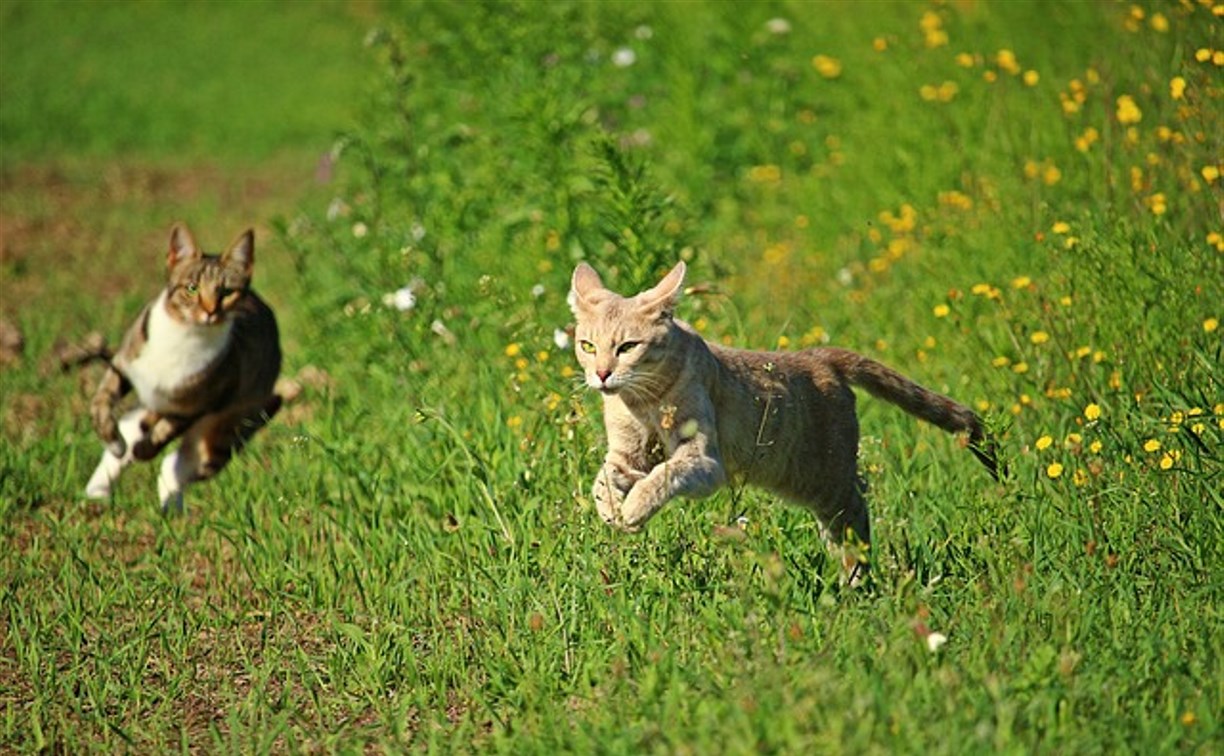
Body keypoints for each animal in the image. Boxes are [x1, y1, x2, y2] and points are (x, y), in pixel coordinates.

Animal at [86, 220, 281, 508]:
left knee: (178, 463)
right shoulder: (125, 363)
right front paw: (115, 443)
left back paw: (169, 505)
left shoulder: (199, 405)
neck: (185, 335)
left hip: (228, 427)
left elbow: (163, 434)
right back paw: (99, 489)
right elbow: (101, 402)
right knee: (135, 428)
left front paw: (141, 449)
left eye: (226, 292)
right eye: (192, 288)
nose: (210, 311)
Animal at [567, 259, 998, 577]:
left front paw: (633, 509)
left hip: (825, 480)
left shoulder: (703, 460)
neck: (641, 401)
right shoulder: (626, 455)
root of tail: (818, 356)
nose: (601, 374)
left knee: (857, 515)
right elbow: (602, 480)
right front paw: (611, 512)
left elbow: (662, 476)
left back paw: (856, 583)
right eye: (587, 346)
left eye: (627, 347)